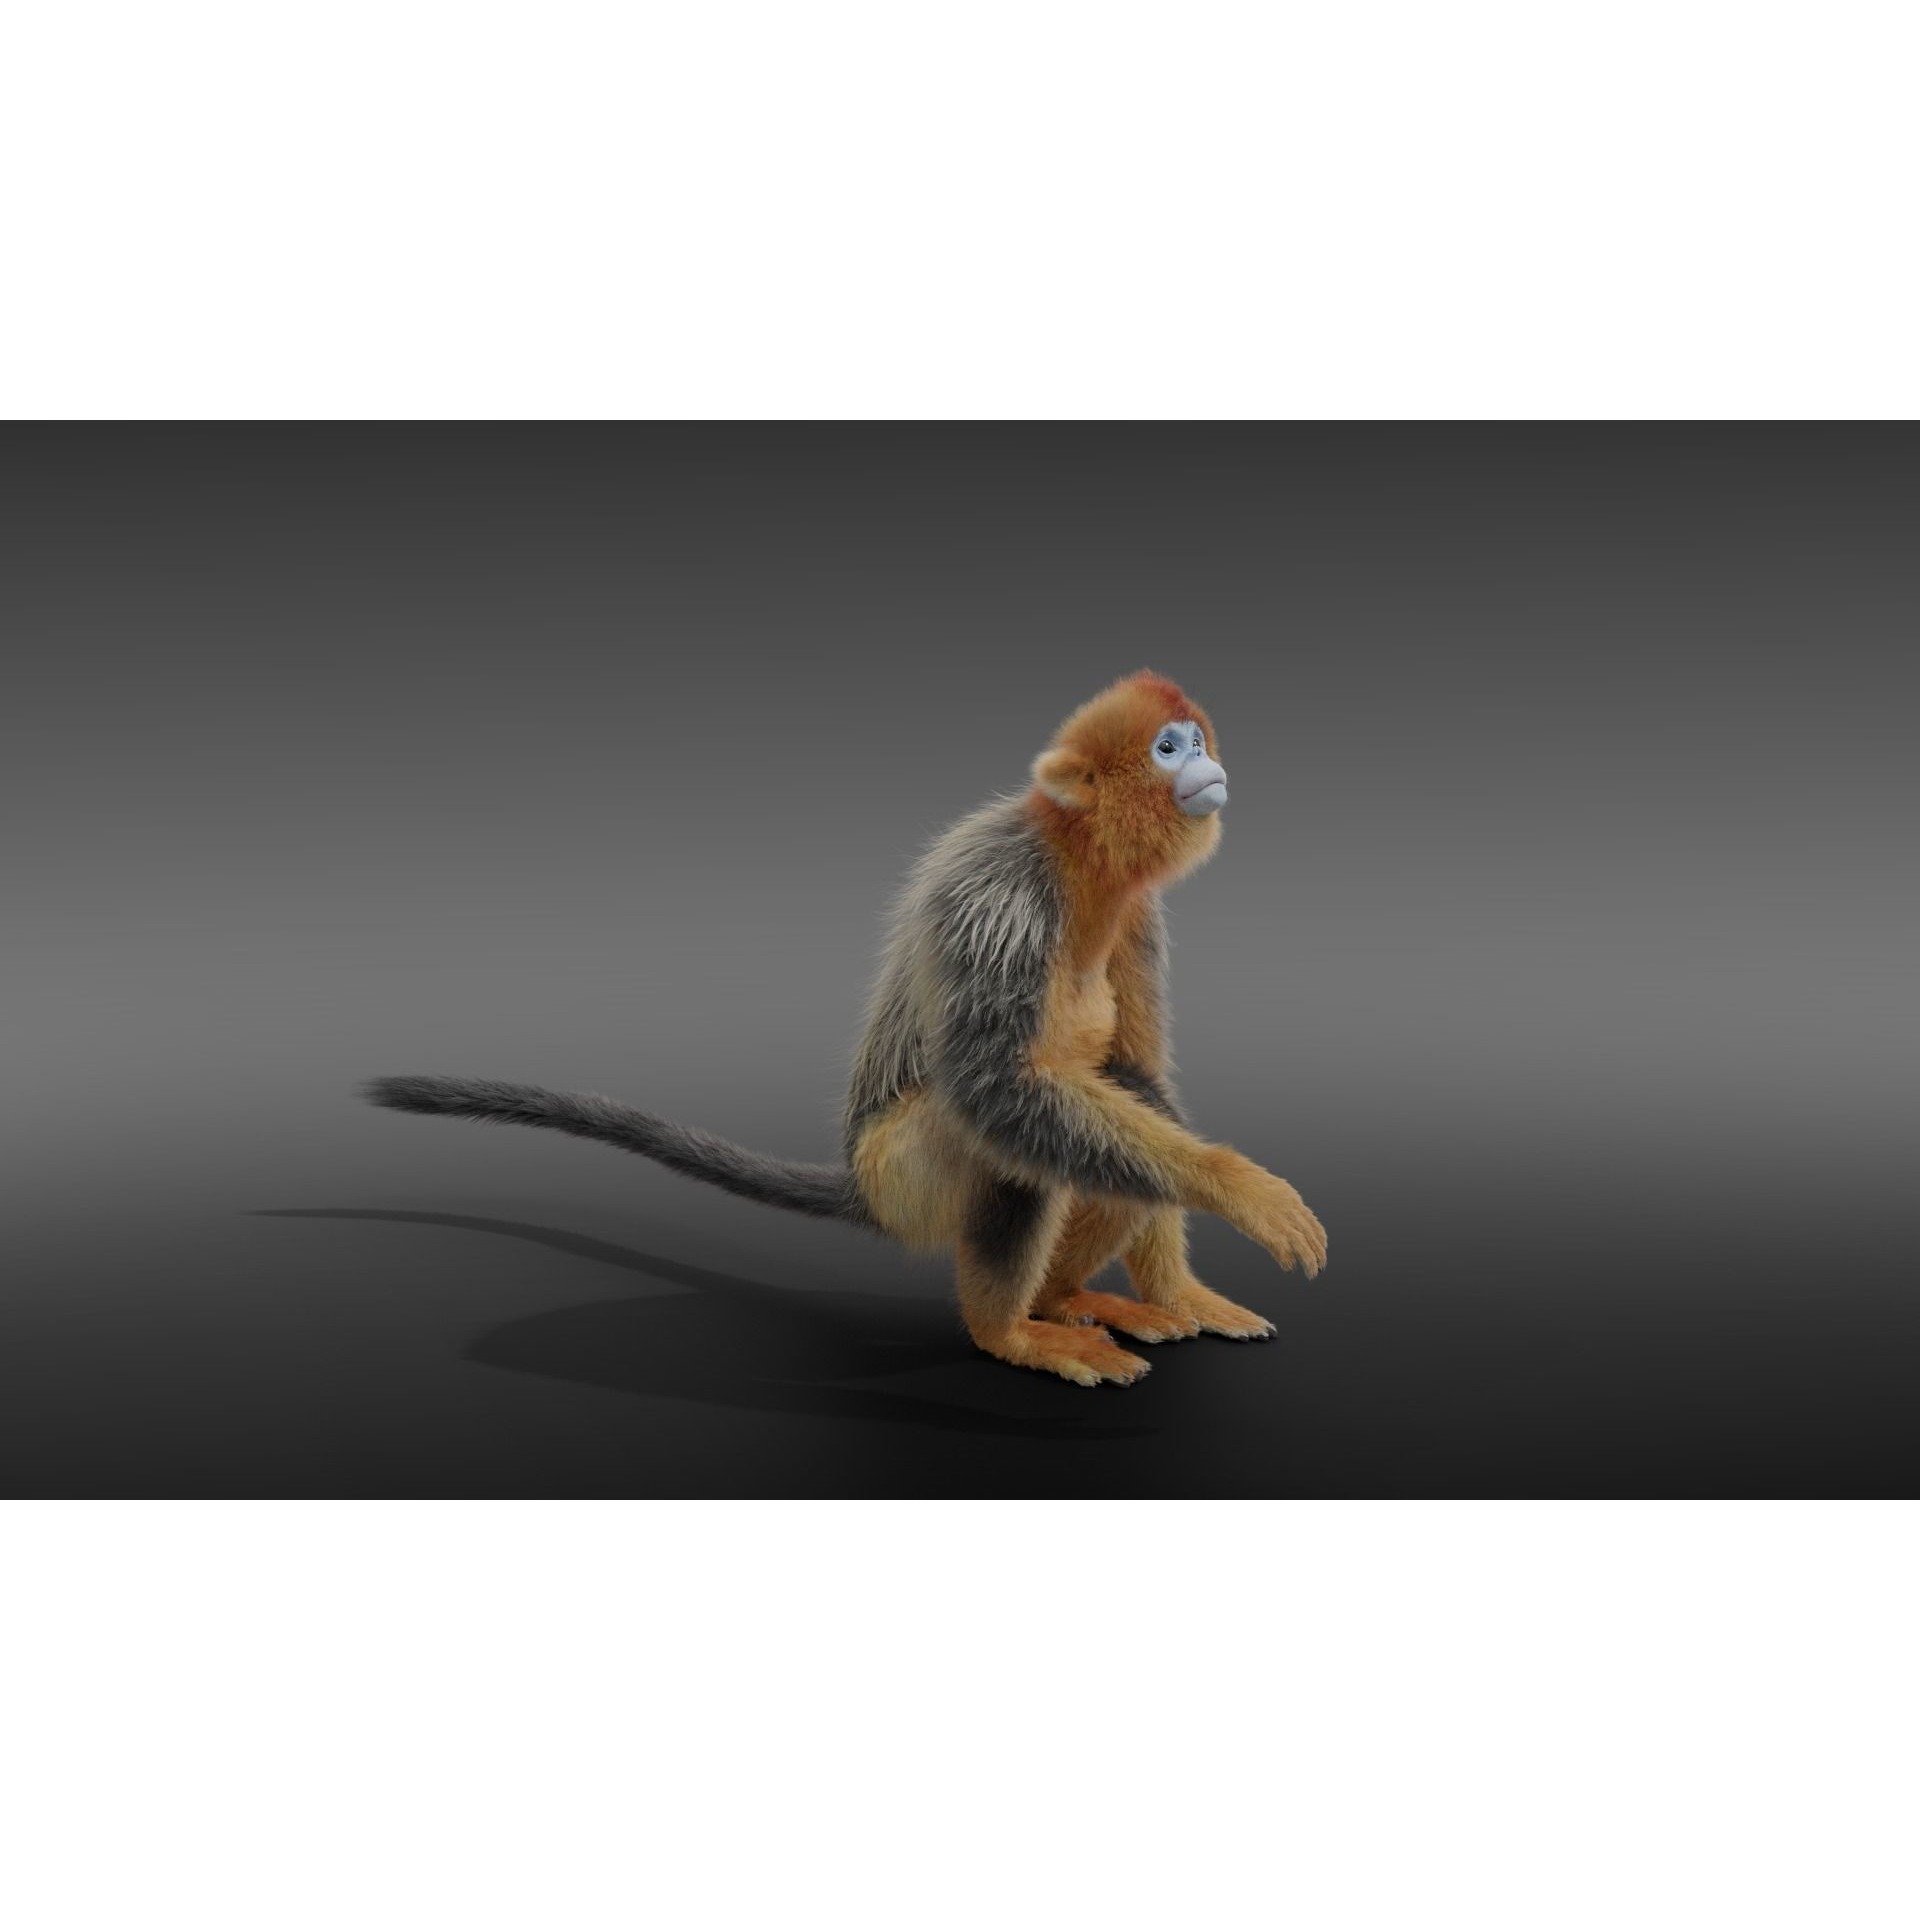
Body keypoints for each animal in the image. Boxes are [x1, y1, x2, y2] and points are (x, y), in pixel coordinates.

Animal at [364, 670, 1326, 1387]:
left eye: (1196, 739)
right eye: (1169, 748)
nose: (1207, 764)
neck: (1075, 855)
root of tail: (865, 1182)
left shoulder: (1138, 918)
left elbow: (1144, 1071)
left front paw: (1183, 1288)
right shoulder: (1003, 897)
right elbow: (1000, 1089)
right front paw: (1236, 1186)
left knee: (1124, 1103)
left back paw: (1062, 1296)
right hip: (908, 1173)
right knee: (1004, 1140)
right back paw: (1011, 1330)